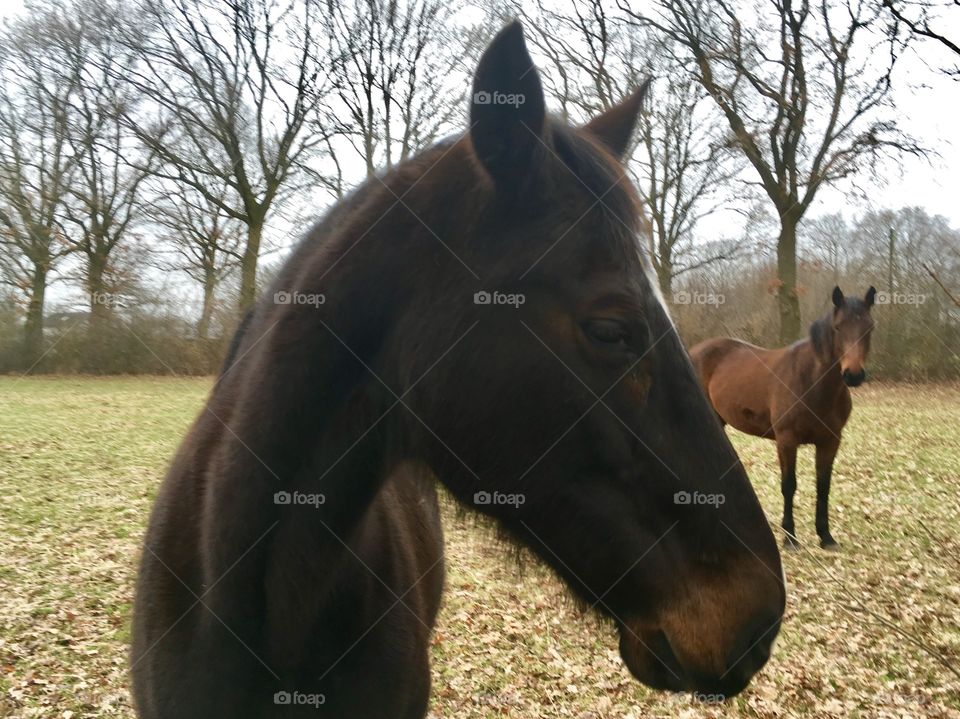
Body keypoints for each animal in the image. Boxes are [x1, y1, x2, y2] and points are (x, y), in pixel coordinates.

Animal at [688, 286, 876, 552]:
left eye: (870, 328)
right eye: (838, 327)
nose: (854, 375)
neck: (811, 382)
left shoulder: (830, 441)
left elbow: (823, 486)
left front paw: (826, 536)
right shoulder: (787, 441)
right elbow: (789, 485)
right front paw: (789, 538)